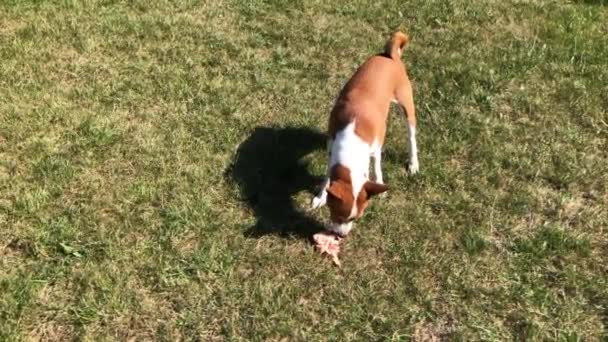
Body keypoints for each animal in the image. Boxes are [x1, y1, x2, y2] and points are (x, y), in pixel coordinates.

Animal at [312, 31, 420, 235]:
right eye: (335, 213)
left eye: (355, 218)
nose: (341, 235)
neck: (351, 144)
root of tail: (390, 56)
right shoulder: (331, 147)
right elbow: (327, 177)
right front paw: (321, 196)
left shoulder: (375, 149)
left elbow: (377, 168)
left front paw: (380, 186)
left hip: (406, 104)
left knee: (411, 136)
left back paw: (413, 164)